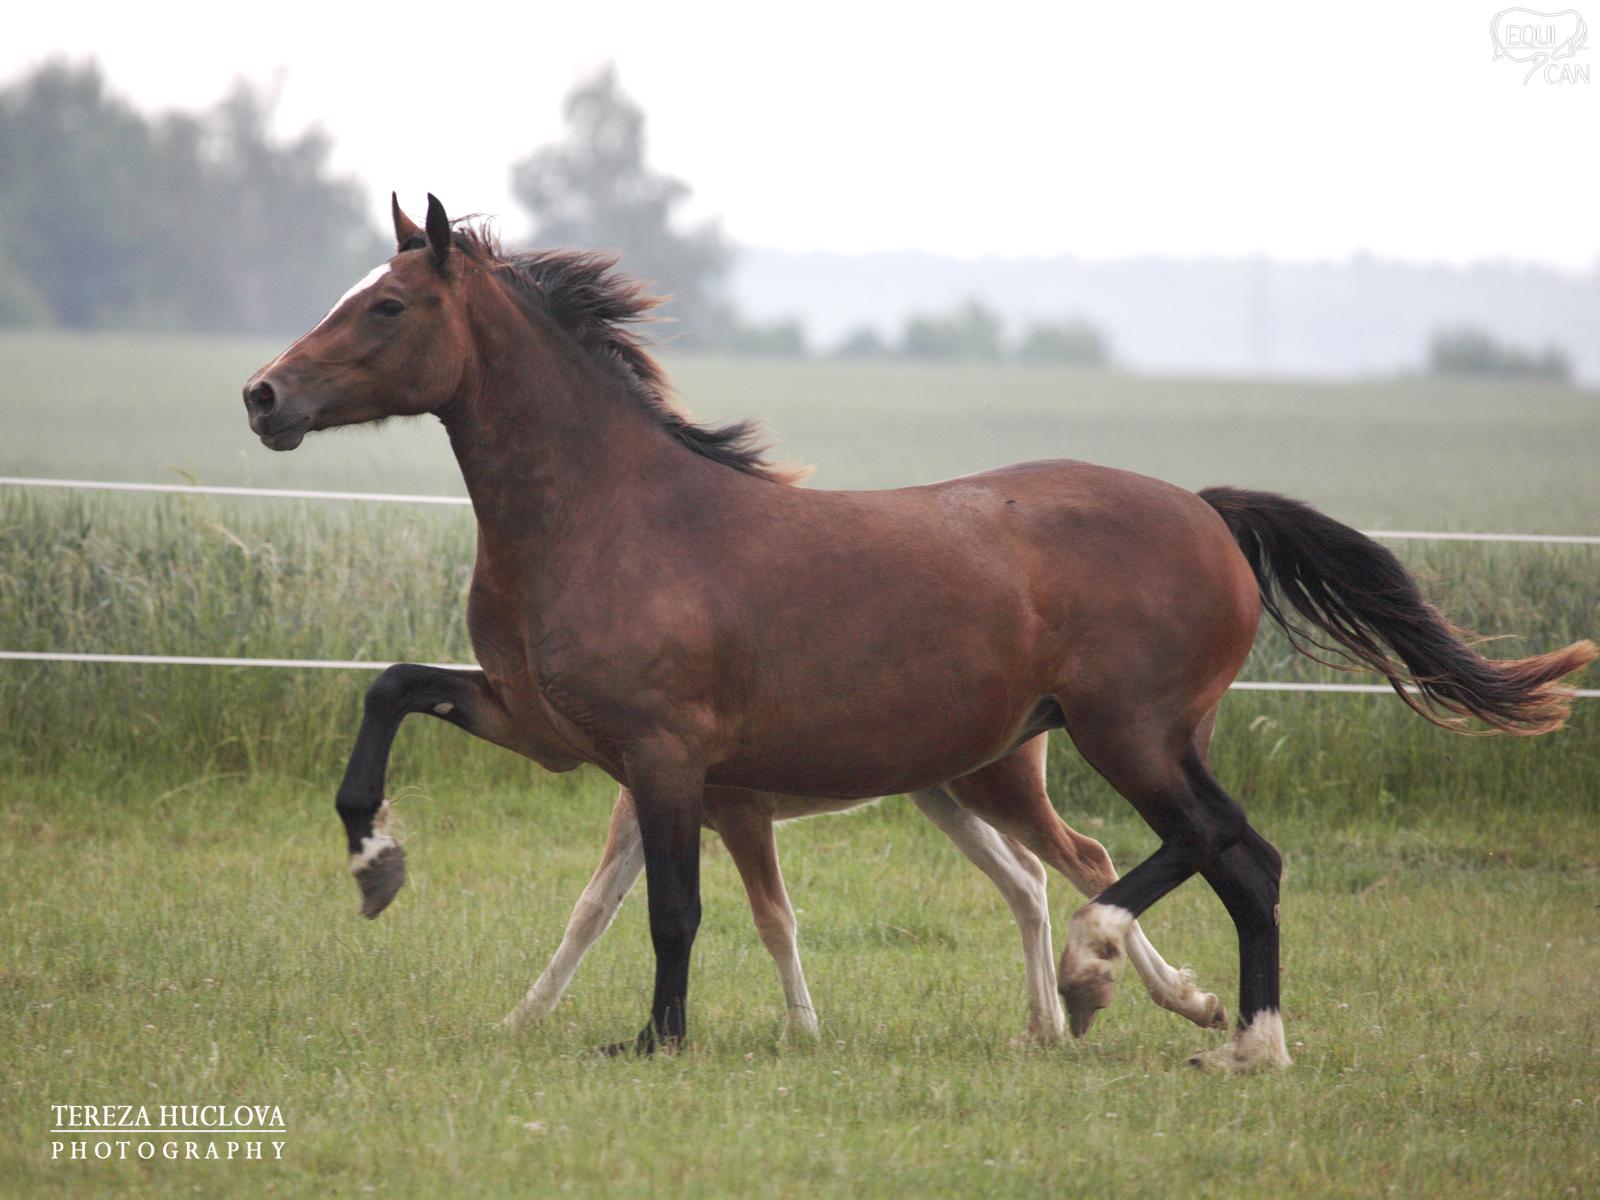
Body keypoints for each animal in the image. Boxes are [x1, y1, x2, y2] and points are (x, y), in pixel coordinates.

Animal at [243, 194, 1595, 1071]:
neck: (615, 512)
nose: (263, 397)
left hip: (1129, 731)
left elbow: (676, 909)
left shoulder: (667, 757)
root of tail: (1207, 512)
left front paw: (656, 1041)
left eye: (388, 306)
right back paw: (1224, 1035)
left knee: (1211, 852)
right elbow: (389, 689)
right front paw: (375, 863)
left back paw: (1128, 990)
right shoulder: (548, 727)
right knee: (1214, 859)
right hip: (1095, 745)